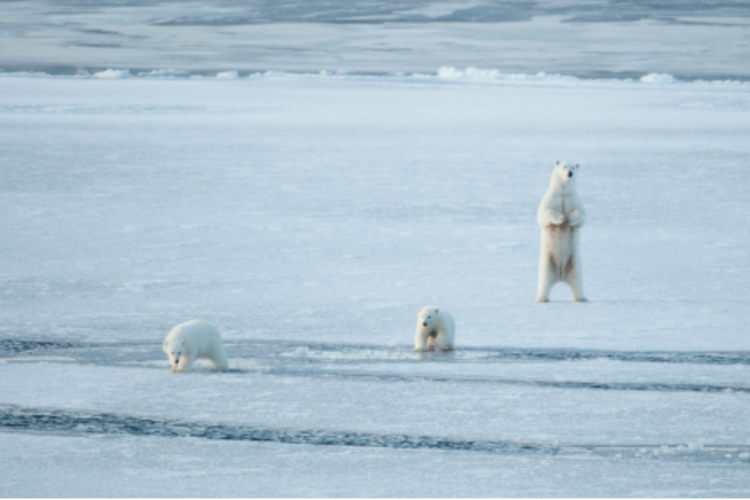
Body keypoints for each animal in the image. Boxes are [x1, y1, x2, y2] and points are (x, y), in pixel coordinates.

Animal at [536, 161, 587, 303]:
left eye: (574, 166)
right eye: (564, 166)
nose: (570, 173)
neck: (563, 193)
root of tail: (560, 276)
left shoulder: (574, 200)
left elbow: (581, 214)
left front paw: (569, 219)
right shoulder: (550, 199)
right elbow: (544, 213)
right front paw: (561, 218)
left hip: (575, 263)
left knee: (577, 281)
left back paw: (582, 297)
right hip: (547, 263)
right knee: (544, 281)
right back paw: (542, 298)